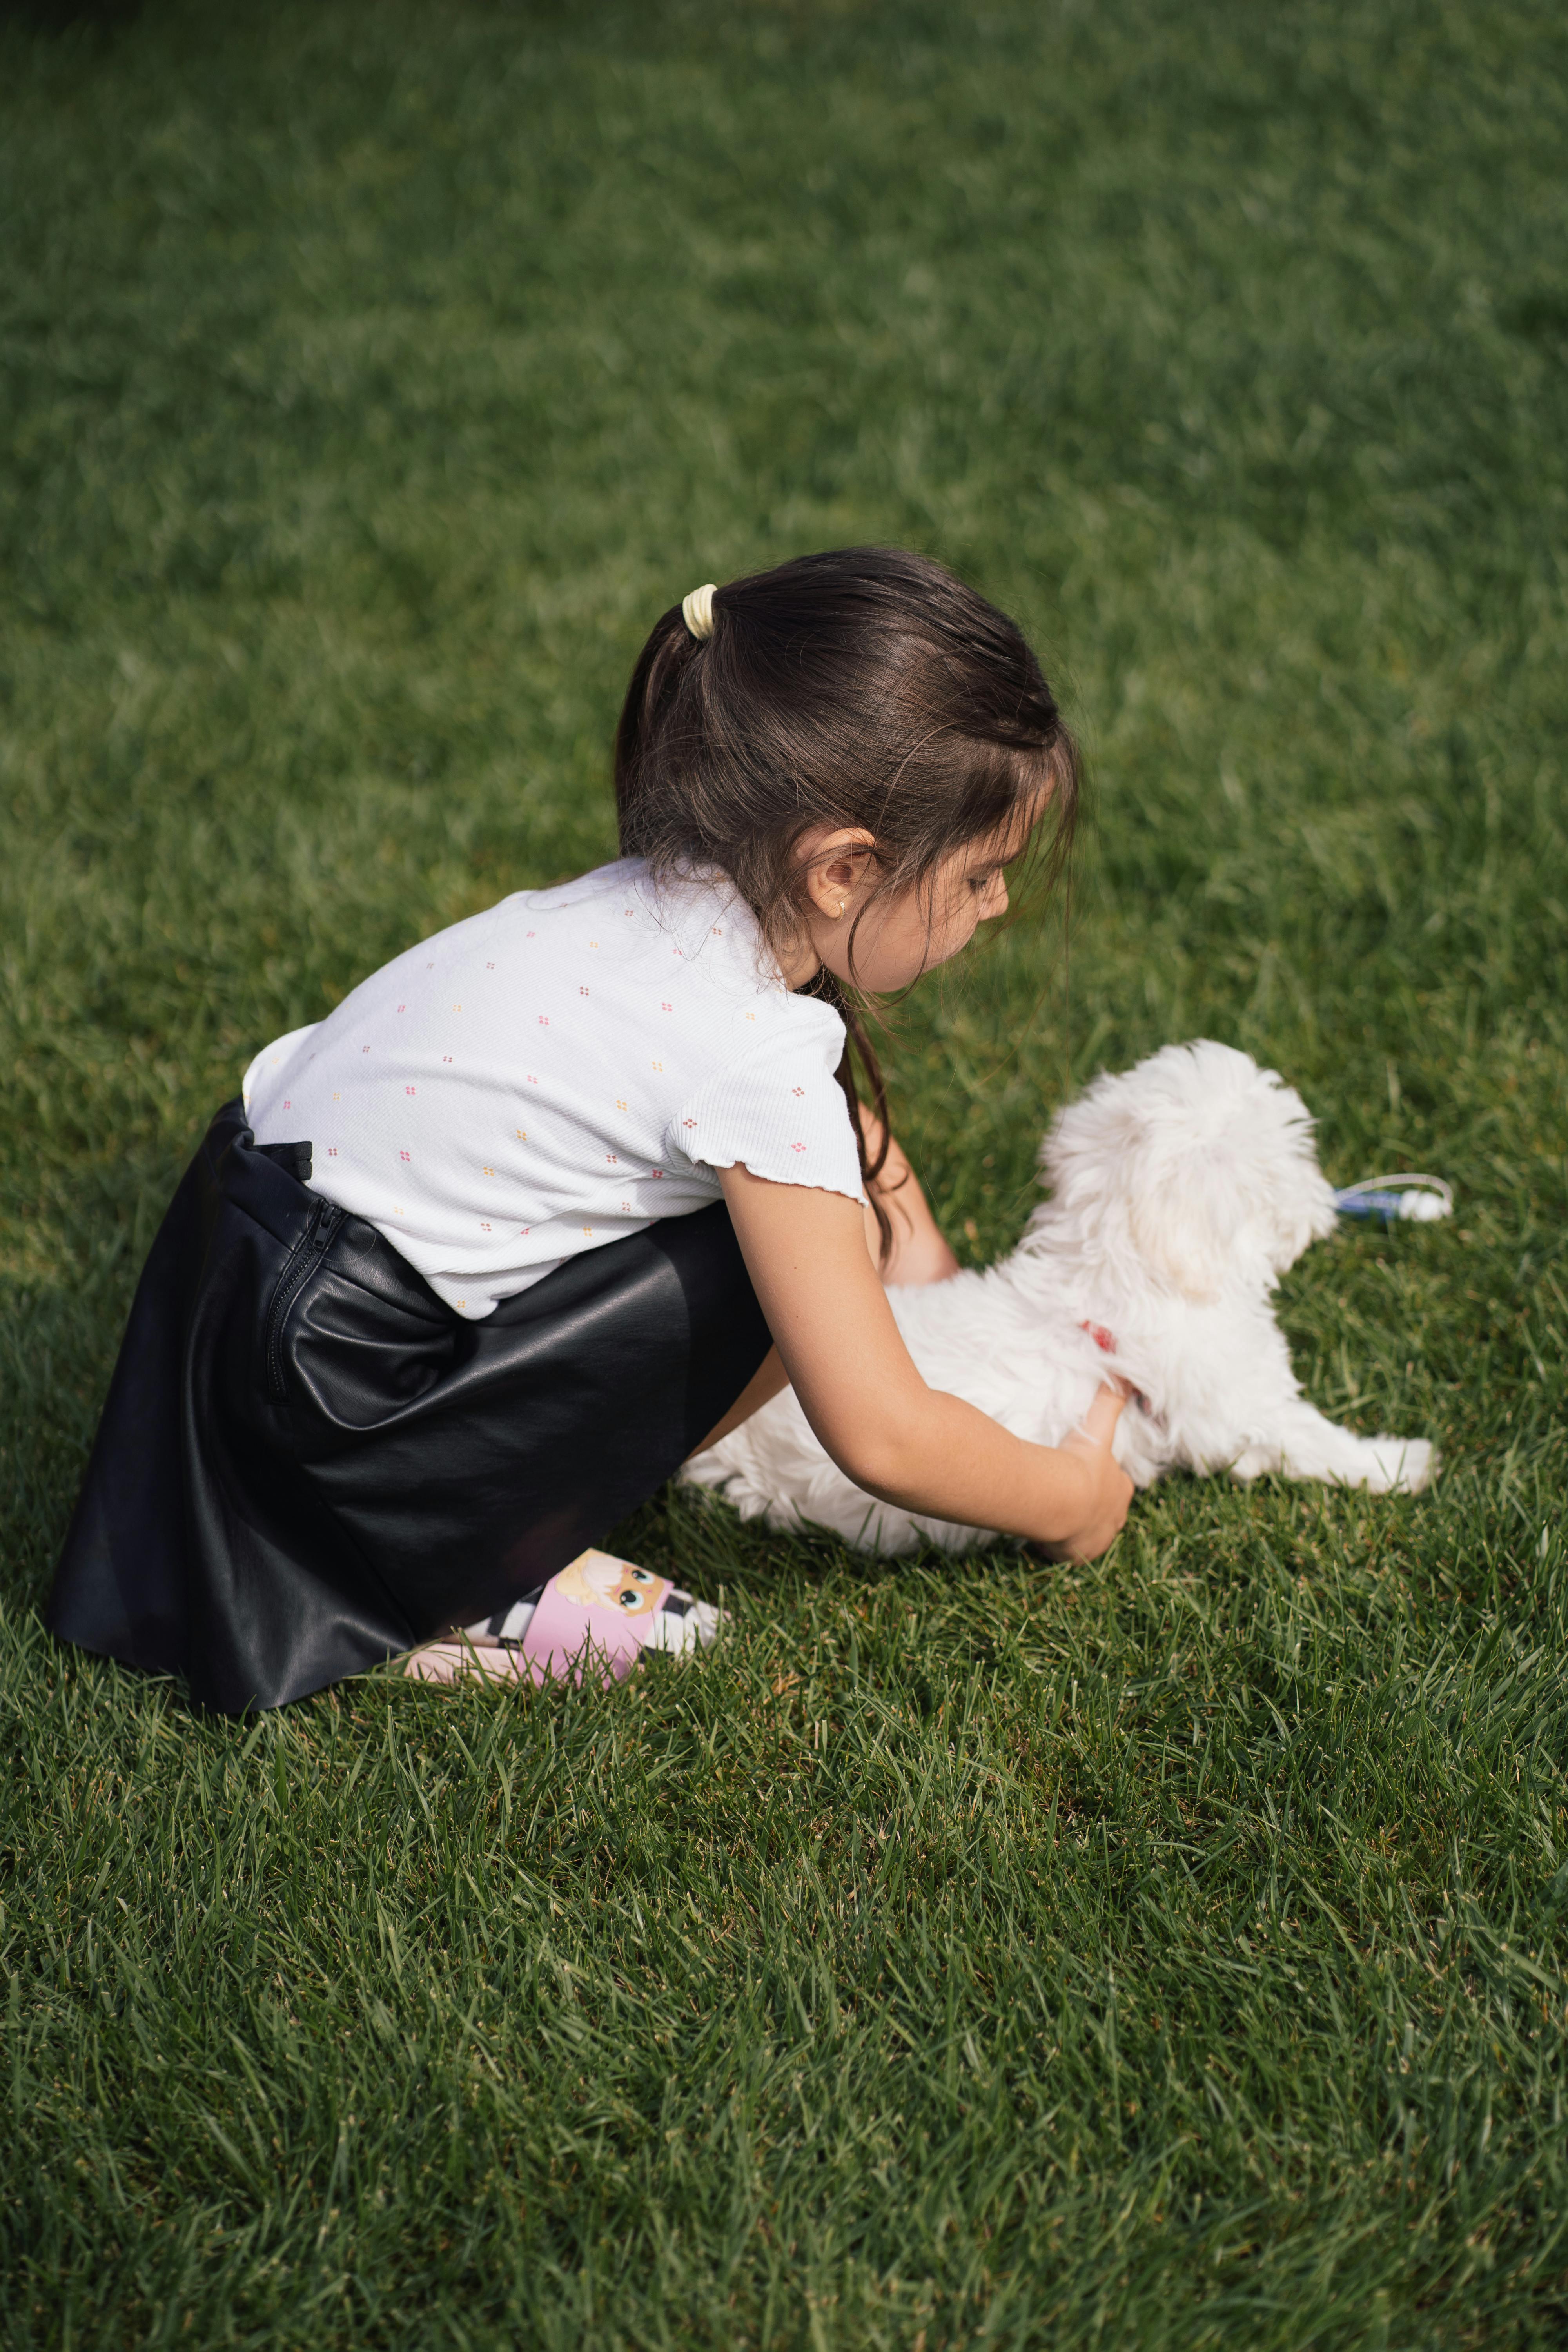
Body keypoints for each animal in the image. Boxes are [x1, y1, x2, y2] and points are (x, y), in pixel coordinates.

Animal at [682, 1040, 1439, 1552]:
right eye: (1293, 1160)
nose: (1326, 1205)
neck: (1114, 1271)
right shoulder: (1235, 1407)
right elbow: (1313, 1441)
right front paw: (1400, 1463)